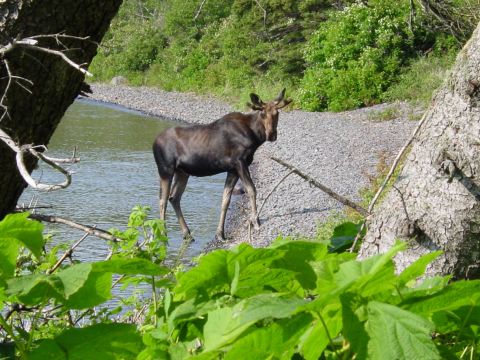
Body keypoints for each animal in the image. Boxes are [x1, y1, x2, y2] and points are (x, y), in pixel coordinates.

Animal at [152, 89, 290, 242]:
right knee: (162, 200)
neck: (255, 137)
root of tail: (153, 143)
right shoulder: (240, 162)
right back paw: (163, 235)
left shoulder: (232, 169)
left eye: (277, 113)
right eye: (263, 113)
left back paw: (187, 233)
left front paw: (221, 233)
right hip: (165, 169)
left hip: (182, 172)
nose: (271, 134)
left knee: (174, 197)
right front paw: (256, 221)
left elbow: (225, 200)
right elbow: (252, 190)